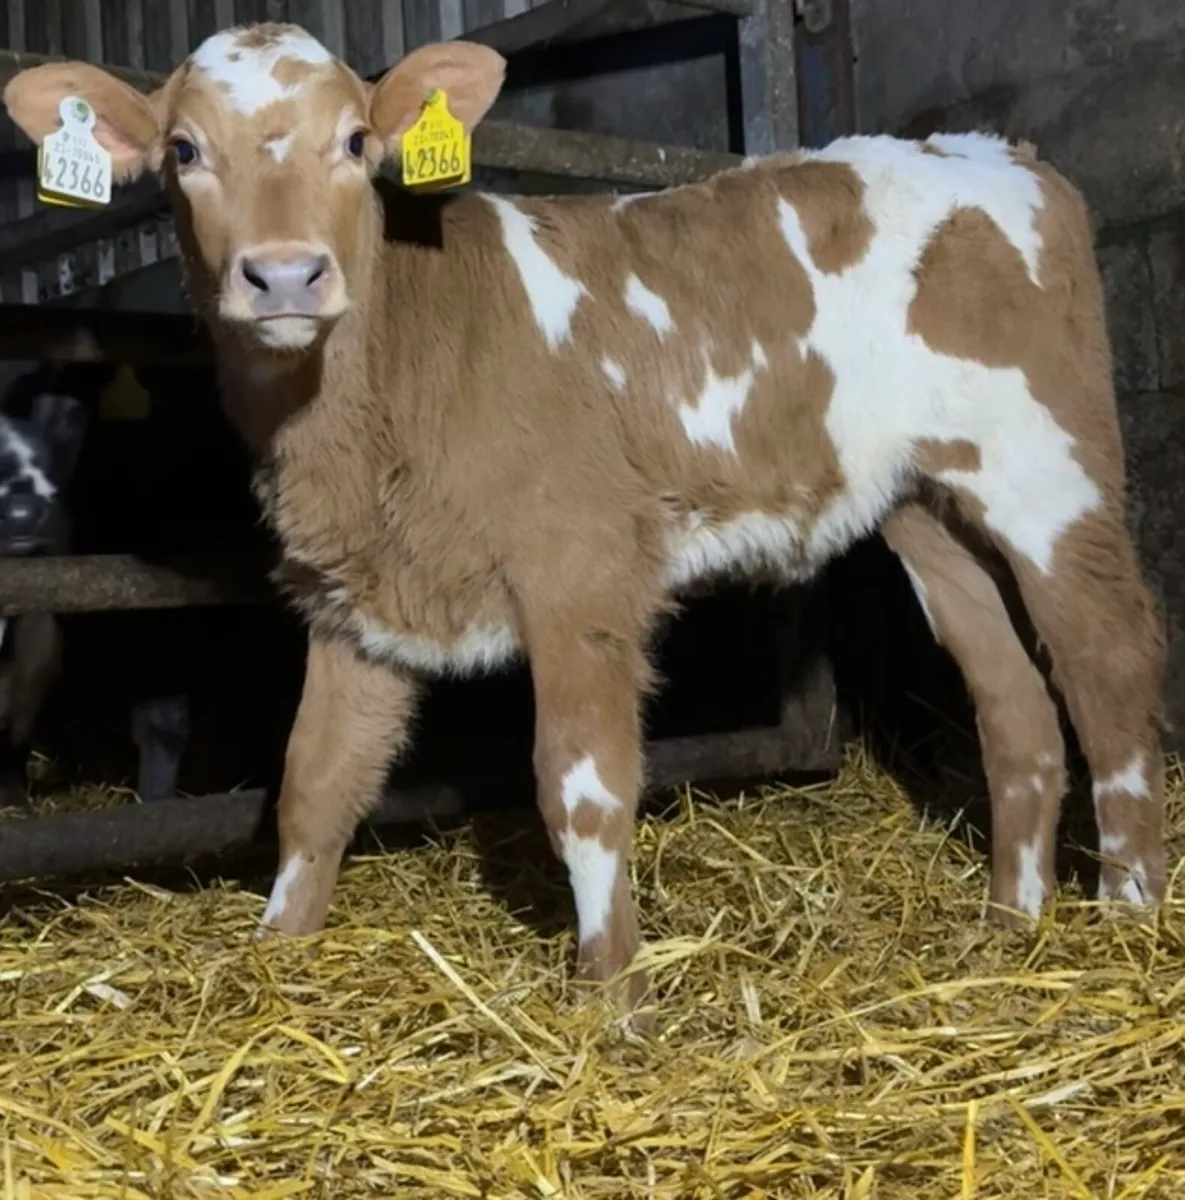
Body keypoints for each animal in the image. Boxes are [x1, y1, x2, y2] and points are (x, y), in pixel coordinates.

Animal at [3, 24, 1167, 1014]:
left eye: (358, 141)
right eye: (185, 149)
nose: (285, 273)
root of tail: (1000, 155)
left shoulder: (581, 567)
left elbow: (582, 786)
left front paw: (610, 998)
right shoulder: (358, 597)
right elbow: (314, 784)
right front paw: (277, 956)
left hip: (1049, 466)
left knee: (1108, 661)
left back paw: (1128, 918)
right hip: (924, 499)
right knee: (1015, 705)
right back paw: (1009, 928)